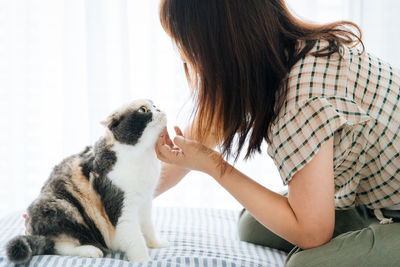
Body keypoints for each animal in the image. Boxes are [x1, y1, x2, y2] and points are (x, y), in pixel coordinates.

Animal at [6, 99, 169, 264]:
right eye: (143, 110)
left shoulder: (145, 203)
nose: (159, 109)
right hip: (62, 206)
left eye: (154, 105)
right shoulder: (123, 210)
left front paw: (156, 244)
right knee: (57, 246)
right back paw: (90, 250)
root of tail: (34, 232)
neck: (142, 155)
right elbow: (136, 239)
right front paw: (143, 260)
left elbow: (148, 229)